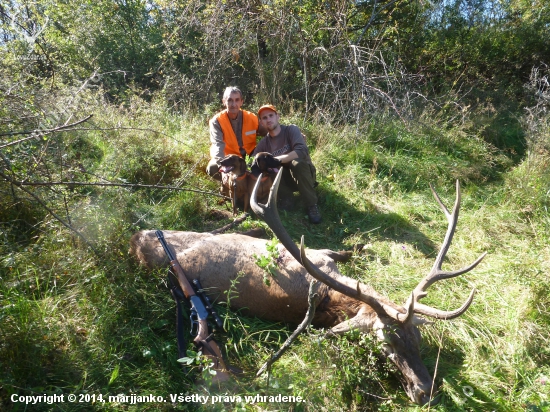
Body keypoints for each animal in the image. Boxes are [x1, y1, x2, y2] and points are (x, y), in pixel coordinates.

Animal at [129, 171, 488, 406]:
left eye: (418, 337)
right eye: (385, 345)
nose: (425, 391)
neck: (333, 297)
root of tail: (134, 246)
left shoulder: (326, 258)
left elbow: (351, 250)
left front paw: (364, 246)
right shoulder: (319, 256)